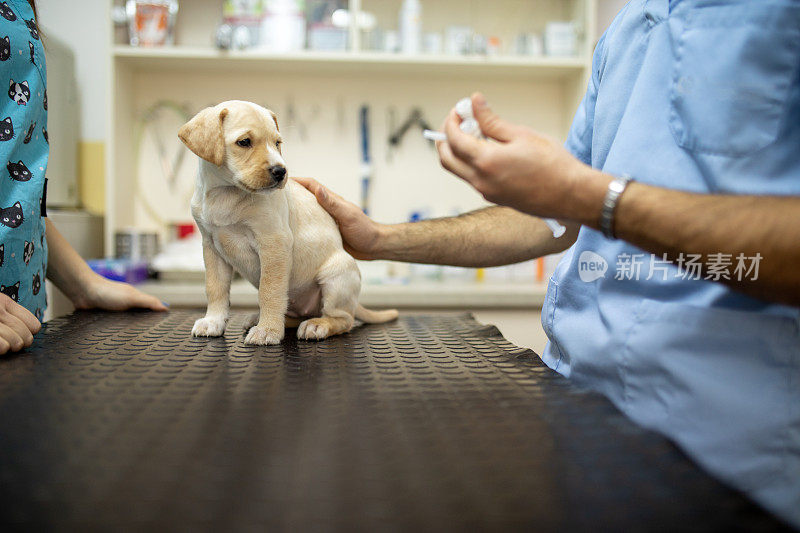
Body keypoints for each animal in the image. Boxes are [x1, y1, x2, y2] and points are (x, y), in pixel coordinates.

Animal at [178, 100, 396, 344]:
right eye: (244, 142)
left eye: (277, 143)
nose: (280, 171)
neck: (226, 195)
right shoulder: (212, 248)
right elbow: (215, 289)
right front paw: (213, 321)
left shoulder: (274, 244)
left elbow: (269, 291)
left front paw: (267, 331)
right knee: (293, 314)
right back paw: (262, 319)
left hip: (336, 276)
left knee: (343, 319)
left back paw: (317, 325)